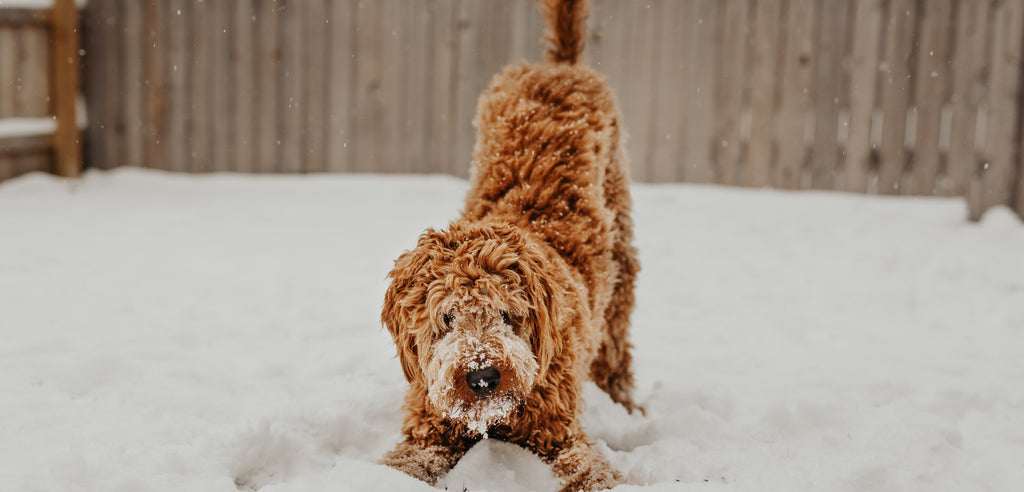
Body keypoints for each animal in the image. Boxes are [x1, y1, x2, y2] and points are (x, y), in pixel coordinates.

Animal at [382, 1, 638, 489]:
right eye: (447, 317)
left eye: (508, 314)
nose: (483, 376)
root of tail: (559, 66)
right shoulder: (429, 426)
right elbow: (404, 463)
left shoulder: (559, 431)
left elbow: (590, 469)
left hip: (621, 258)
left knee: (617, 342)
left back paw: (626, 404)